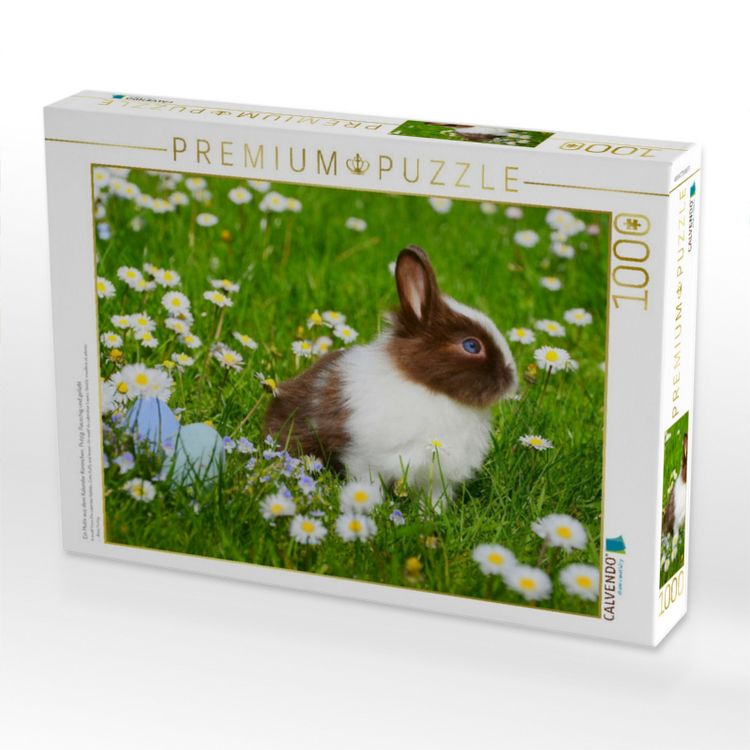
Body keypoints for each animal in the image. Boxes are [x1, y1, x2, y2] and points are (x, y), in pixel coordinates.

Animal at [264, 245, 517, 509]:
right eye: (471, 346)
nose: (512, 378)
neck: (428, 388)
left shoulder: (439, 478)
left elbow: (434, 499)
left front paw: (431, 515)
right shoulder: (364, 459)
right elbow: (368, 485)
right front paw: (372, 508)